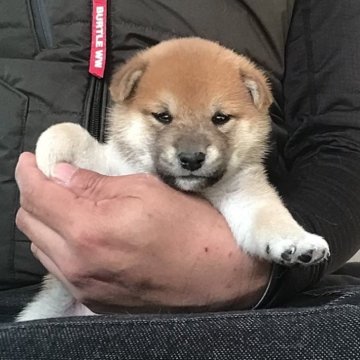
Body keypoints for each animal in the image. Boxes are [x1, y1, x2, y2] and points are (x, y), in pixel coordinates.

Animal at [16, 38, 330, 320]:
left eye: (220, 118)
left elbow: (270, 218)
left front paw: (299, 242)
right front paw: (50, 157)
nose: (191, 159)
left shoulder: (244, 194)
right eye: (163, 116)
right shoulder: (116, 168)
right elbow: (69, 133)